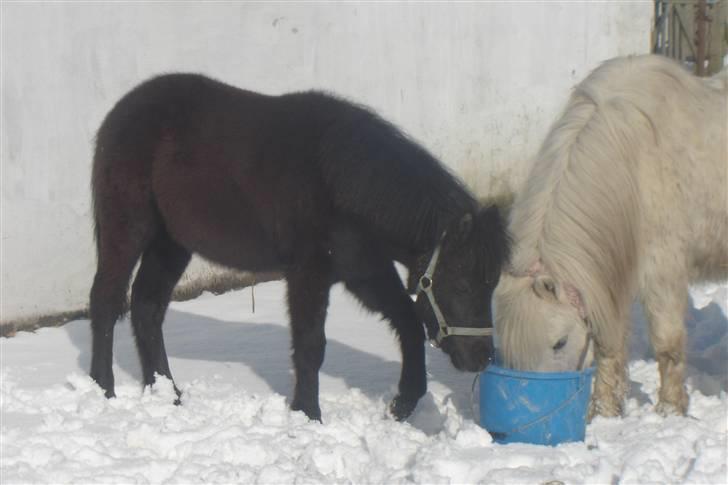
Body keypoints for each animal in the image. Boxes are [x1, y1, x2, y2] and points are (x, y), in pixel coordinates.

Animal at [91, 73, 510, 422]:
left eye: (491, 284)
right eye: (460, 284)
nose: (481, 358)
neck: (338, 182)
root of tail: (122, 110)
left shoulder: (363, 269)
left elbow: (408, 320)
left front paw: (403, 402)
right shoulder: (309, 272)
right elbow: (311, 344)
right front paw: (308, 414)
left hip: (171, 243)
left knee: (146, 307)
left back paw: (166, 394)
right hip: (127, 230)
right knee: (107, 300)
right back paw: (103, 389)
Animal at [494, 54, 728, 416]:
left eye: (559, 342)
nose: (536, 402)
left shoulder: (663, 269)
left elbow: (667, 343)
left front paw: (670, 409)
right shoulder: (610, 269)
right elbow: (609, 343)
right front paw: (605, 409)